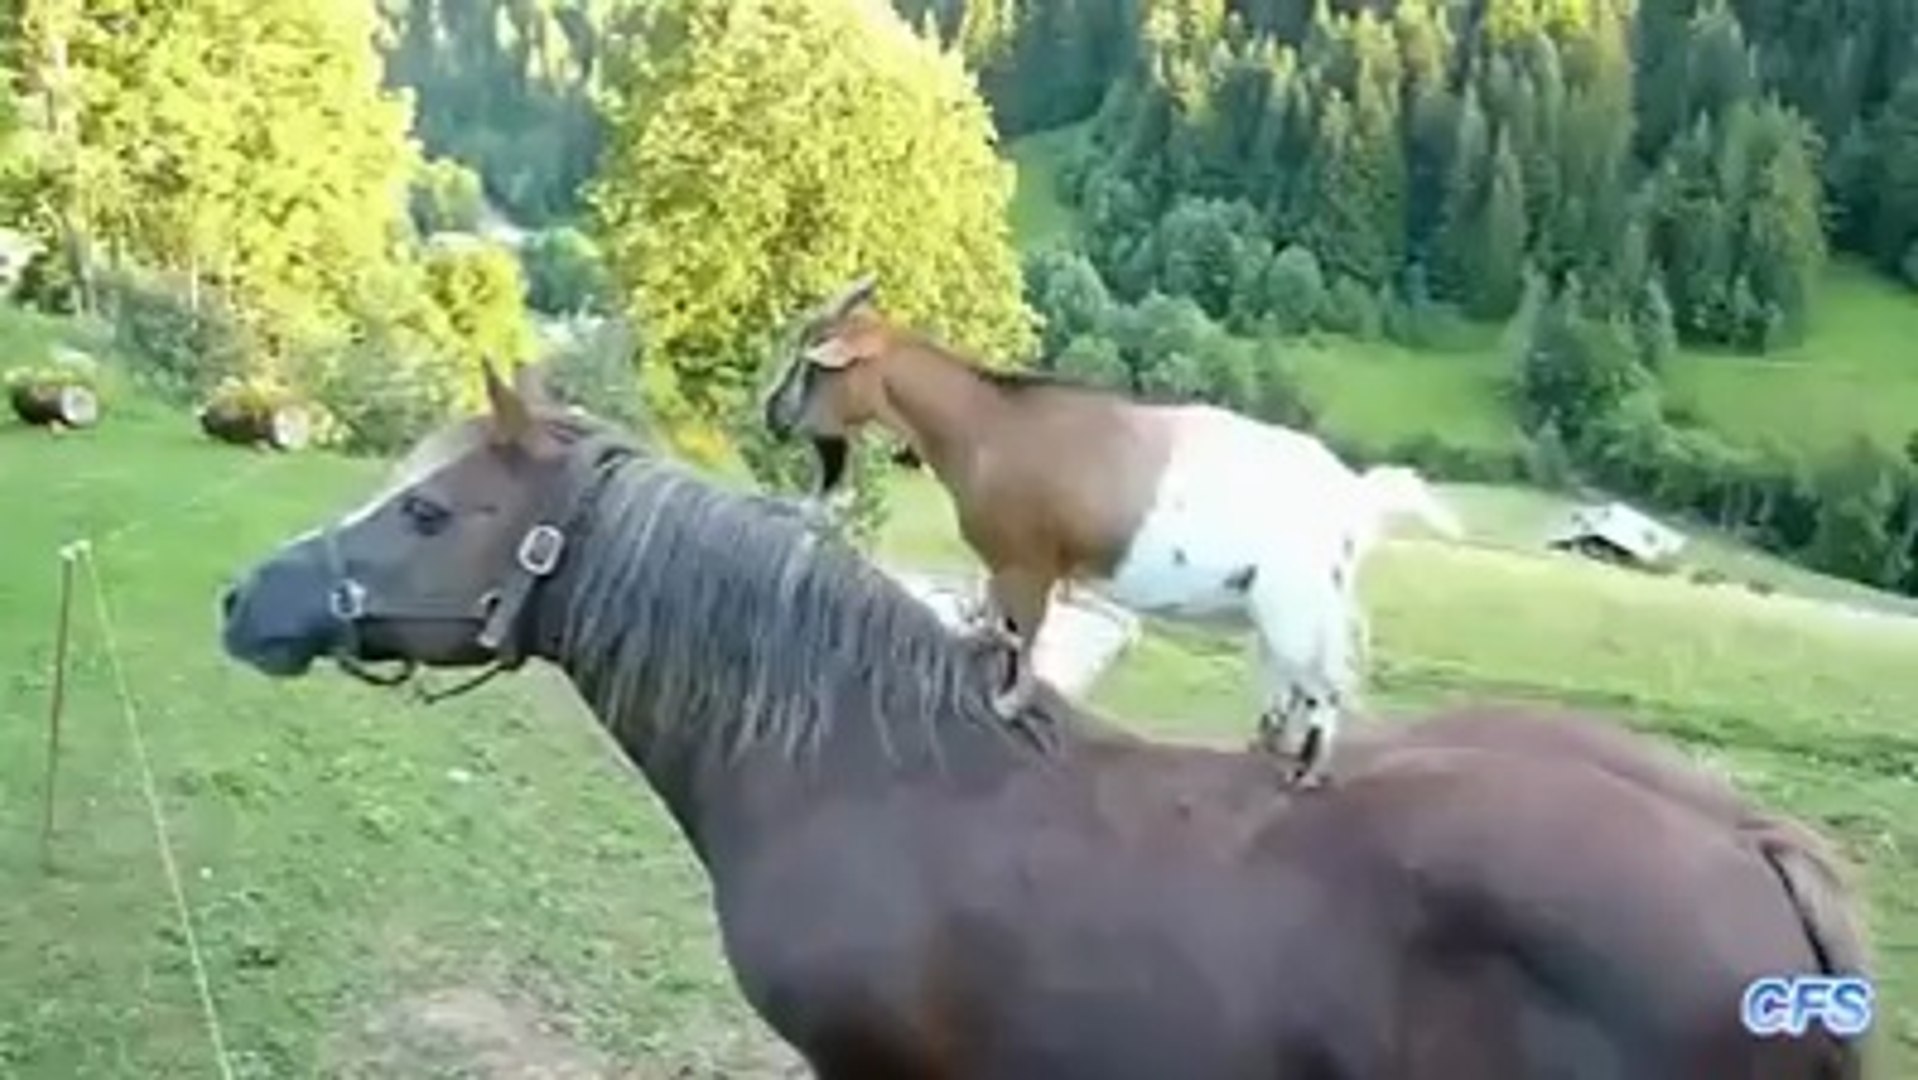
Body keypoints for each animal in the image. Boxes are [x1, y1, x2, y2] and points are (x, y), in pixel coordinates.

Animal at [760, 275, 1464, 787]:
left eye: (812, 364)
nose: (771, 415)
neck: (984, 426)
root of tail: (1355, 496)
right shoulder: (1004, 564)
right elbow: (999, 625)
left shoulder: (1028, 560)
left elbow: (1025, 634)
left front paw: (1010, 705)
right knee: (1290, 679)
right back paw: (1270, 741)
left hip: (1300, 600)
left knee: (1321, 684)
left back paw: (1306, 769)